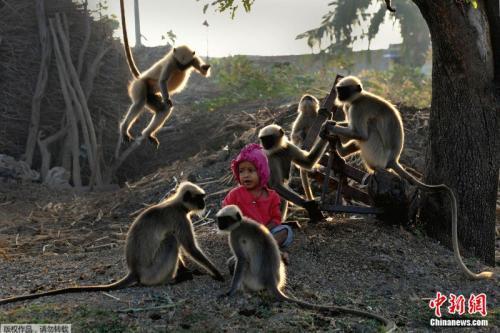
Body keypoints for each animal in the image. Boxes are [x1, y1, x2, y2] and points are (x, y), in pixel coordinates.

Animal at [0, 182, 223, 304]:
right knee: (170, 240)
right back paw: (171, 280)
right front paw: (217, 273)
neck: (176, 204)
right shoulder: (180, 218)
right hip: (152, 271)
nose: (204, 203)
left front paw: (188, 269)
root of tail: (134, 270)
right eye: (200, 198)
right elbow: (190, 248)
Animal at [119, 0, 211, 147]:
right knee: (140, 102)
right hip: (140, 85)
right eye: (179, 64)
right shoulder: (171, 63)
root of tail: (140, 77)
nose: (181, 68)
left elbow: (203, 72)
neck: (179, 64)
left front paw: (205, 68)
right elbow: (162, 81)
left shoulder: (193, 59)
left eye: (184, 65)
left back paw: (148, 134)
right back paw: (124, 130)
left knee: (163, 109)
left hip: (152, 95)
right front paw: (168, 98)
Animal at [217, 205, 396, 332]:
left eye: (223, 220)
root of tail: (271, 281)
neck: (241, 222)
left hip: (251, 278)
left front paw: (230, 291)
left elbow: (241, 260)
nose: (218, 225)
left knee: (242, 265)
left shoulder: (234, 235)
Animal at [320, 75, 492, 280]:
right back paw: (341, 150)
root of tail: (393, 159)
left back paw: (361, 161)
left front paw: (329, 125)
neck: (358, 98)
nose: (339, 95)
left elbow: (359, 133)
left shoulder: (357, 108)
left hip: (378, 153)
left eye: (343, 90)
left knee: (368, 131)